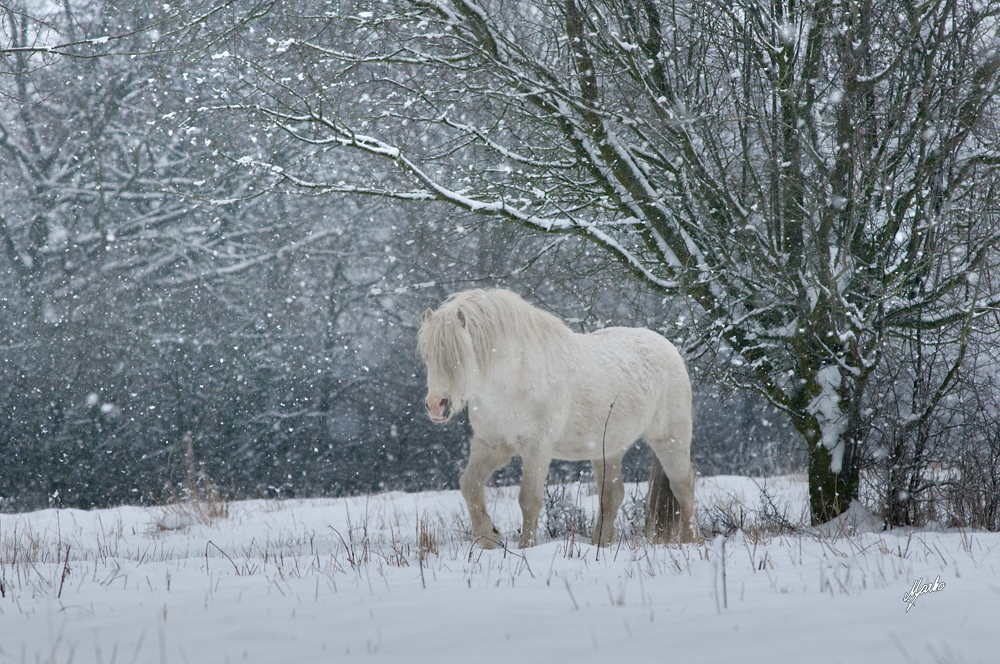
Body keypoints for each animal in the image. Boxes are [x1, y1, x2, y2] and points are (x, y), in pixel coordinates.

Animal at [418, 288, 700, 548]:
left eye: (459, 355)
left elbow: (529, 500)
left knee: (683, 486)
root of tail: (670, 348)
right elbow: (469, 486)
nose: (436, 406)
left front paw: (526, 548)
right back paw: (599, 546)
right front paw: (489, 539)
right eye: (428, 356)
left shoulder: (537, 448)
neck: (514, 378)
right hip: (607, 450)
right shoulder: (491, 445)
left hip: (670, 440)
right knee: (612, 496)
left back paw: (690, 541)